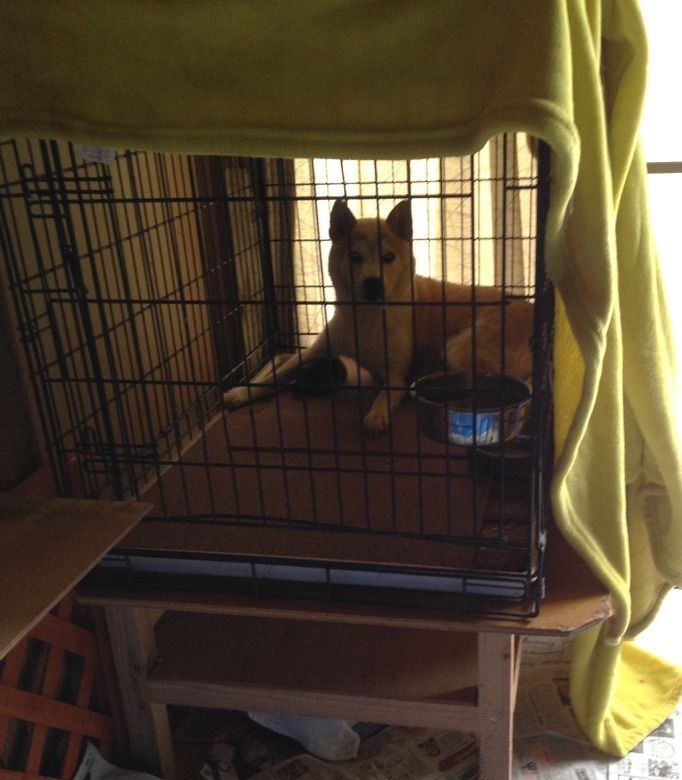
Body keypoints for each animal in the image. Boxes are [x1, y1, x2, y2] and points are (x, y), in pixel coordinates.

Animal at [224, 199, 534, 434]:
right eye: (354, 256)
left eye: (388, 257)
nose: (373, 283)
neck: (366, 316)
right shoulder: (315, 351)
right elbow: (274, 375)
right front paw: (240, 393)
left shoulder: (396, 373)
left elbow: (385, 395)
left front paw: (376, 416)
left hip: (461, 346)